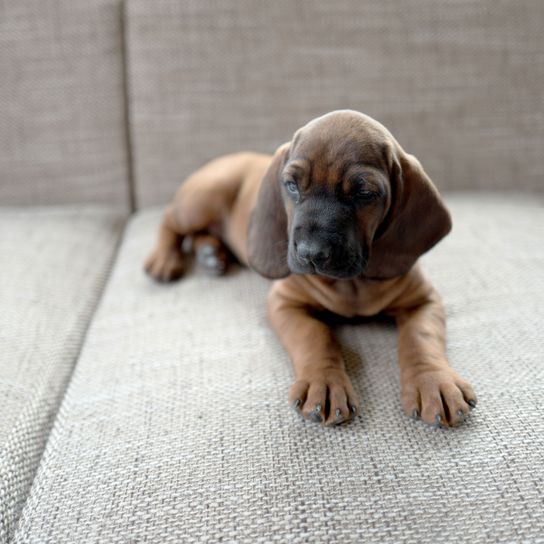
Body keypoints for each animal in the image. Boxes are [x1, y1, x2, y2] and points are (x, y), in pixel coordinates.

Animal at [143, 110, 476, 430]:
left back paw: (211, 253)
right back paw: (164, 259)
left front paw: (434, 382)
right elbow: (314, 336)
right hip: (204, 198)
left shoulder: (424, 300)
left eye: (364, 193)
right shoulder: (285, 303)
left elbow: (421, 339)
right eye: (291, 186)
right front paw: (324, 384)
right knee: (170, 220)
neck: (353, 284)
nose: (310, 254)